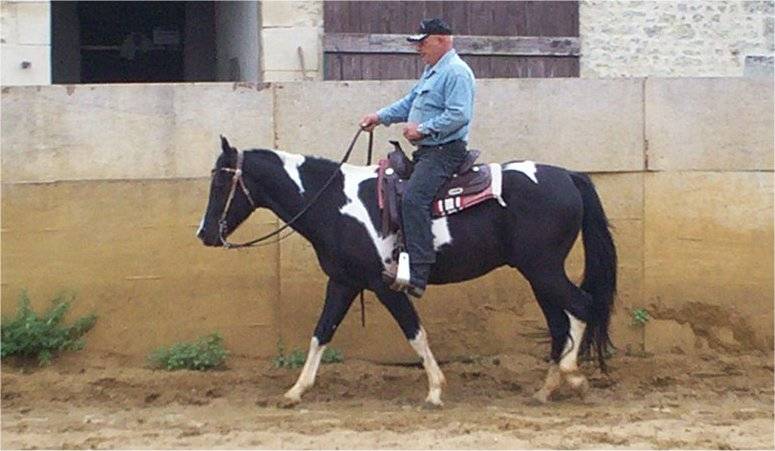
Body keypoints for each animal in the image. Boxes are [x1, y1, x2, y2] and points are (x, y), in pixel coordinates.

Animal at [197, 135, 617, 407]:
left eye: (221, 180)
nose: (204, 233)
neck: (334, 202)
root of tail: (568, 176)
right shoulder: (344, 281)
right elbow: (321, 333)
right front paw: (295, 392)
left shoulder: (385, 285)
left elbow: (414, 333)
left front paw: (434, 390)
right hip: (538, 274)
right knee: (559, 323)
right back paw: (546, 390)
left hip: (543, 269)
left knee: (582, 306)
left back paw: (575, 377)